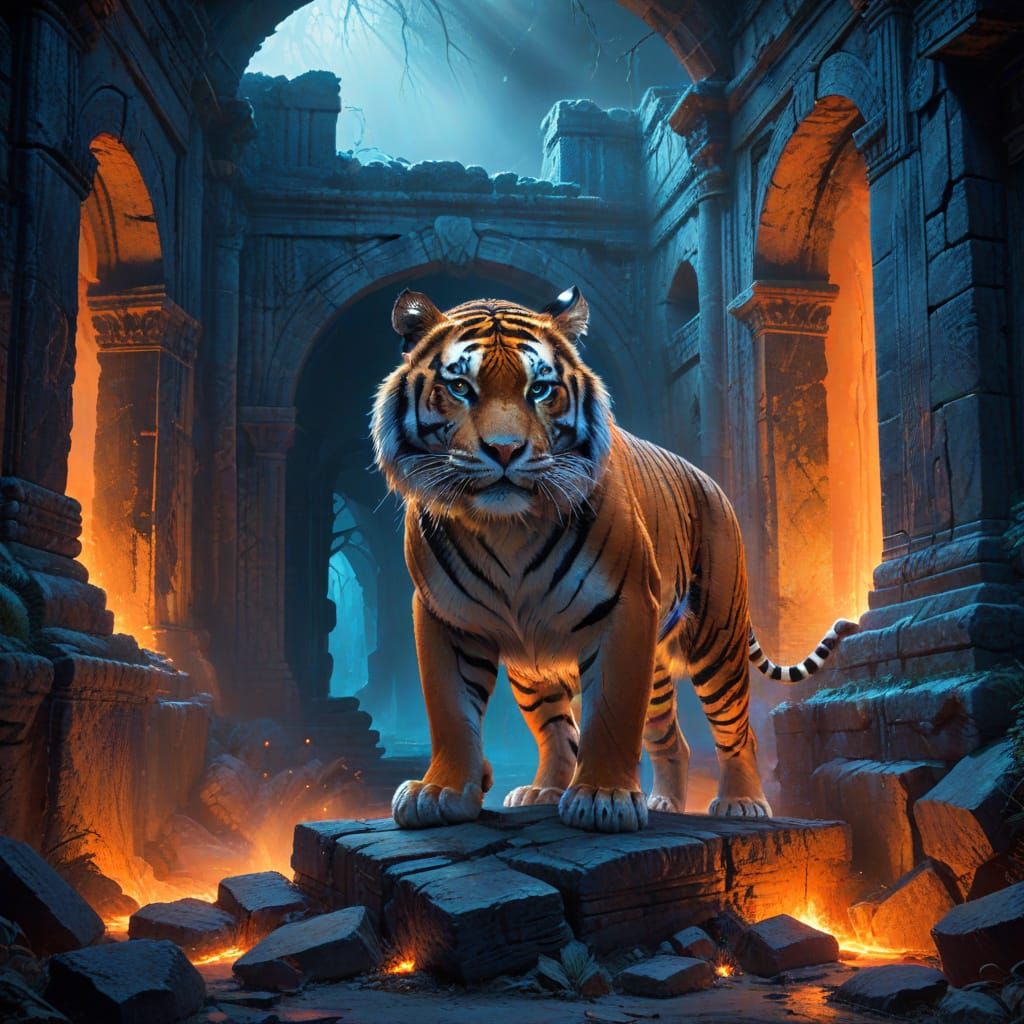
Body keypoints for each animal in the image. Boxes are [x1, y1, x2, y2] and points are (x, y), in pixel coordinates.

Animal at [371, 285, 858, 833]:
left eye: (540, 389)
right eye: (459, 387)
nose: (505, 450)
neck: (507, 527)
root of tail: (711, 482)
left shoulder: (624, 610)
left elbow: (610, 713)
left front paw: (602, 798)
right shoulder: (445, 616)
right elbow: (451, 709)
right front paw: (441, 791)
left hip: (718, 640)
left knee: (736, 729)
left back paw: (742, 803)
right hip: (554, 670)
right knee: (603, 734)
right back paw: (580, 793)